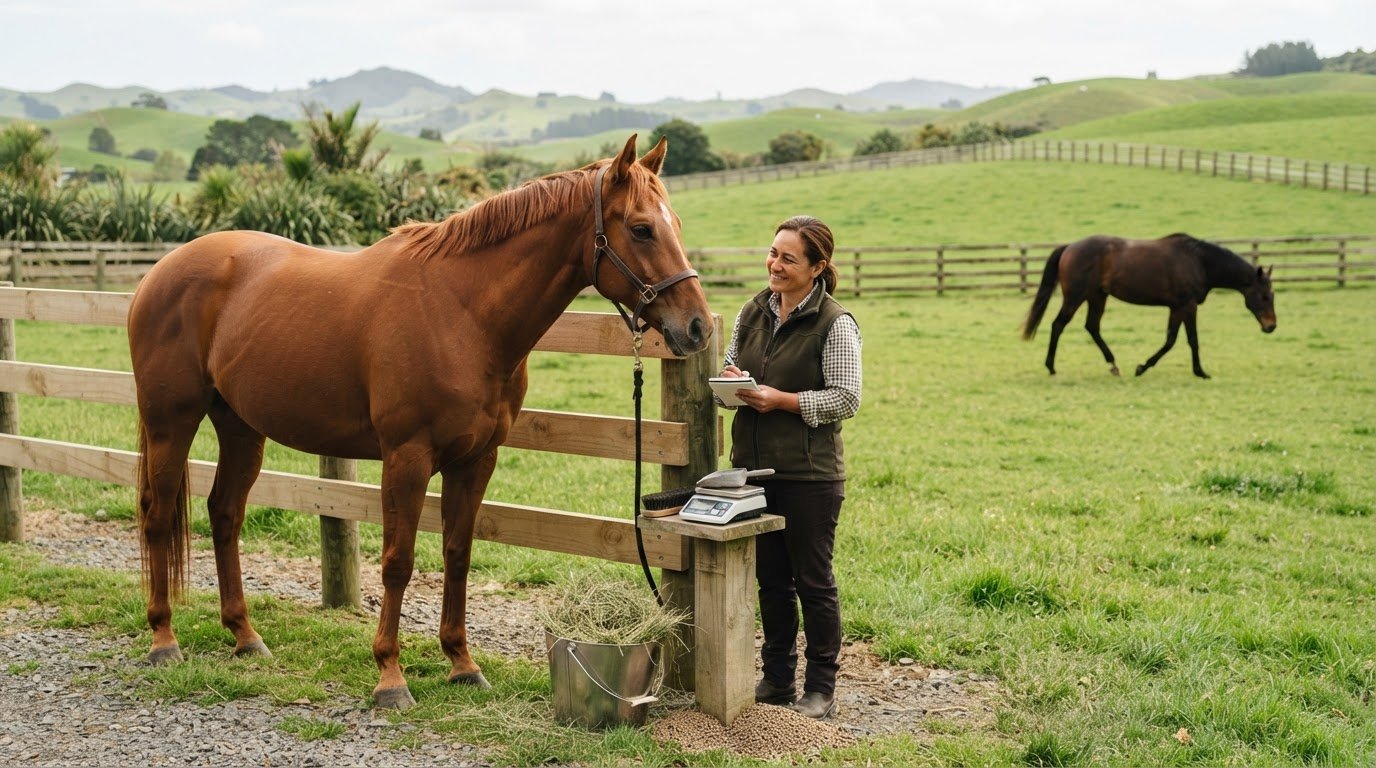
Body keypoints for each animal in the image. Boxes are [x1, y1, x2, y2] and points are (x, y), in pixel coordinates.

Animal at [127, 135, 712, 709]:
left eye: (679, 224)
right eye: (641, 228)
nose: (698, 326)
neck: (461, 313)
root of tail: (158, 272)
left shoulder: (476, 460)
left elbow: (457, 554)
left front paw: (462, 664)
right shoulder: (406, 458)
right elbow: (398, 561)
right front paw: (390, 676)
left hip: (241, 428)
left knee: (224, 515)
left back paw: (245, 636)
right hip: (170, 423)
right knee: (157, 516)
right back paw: (163, 640)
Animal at [1021, 233, 1276, 379]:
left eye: (1272, 295)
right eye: (1265, 296)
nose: (1271, 326)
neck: (1199, 261)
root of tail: (1070, 247)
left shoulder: (1177, 307)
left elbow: (1172, 339)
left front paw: (1143, 367)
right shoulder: (1187, 305)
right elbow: (1189, 340)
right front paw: (1199, 372)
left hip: (1097, 296)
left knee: (1092, 327)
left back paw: (1113, 365)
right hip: (1076, 296)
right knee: (1058, 325)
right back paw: (1051, 367)